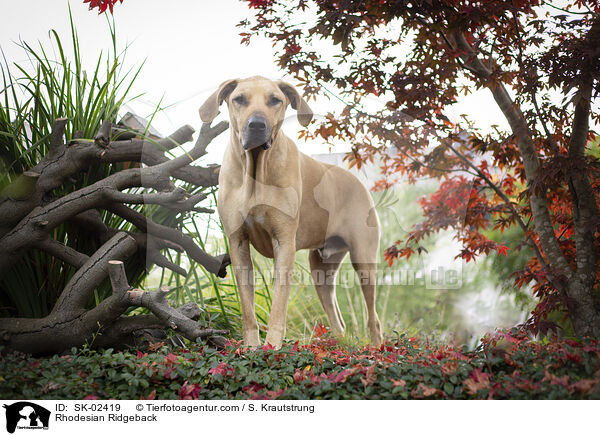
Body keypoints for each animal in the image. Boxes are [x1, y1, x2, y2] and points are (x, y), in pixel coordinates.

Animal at [199, 76, 382, 348]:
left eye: (275, 100)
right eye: (239, 99)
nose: (257, 125)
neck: (256, 172)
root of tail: (356, 179)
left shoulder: (284, 243)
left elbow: (278, 303)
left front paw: (272, 346)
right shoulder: (238, 243)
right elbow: (247, 307)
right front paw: (251, 347)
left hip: (364, 259)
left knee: (373, 317)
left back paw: (377, 347)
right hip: (321, 268)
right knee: (336, 317)